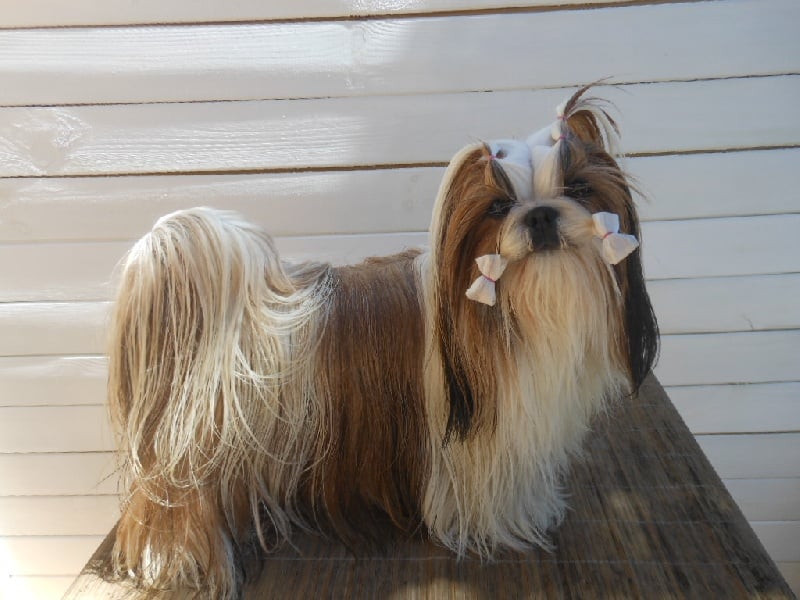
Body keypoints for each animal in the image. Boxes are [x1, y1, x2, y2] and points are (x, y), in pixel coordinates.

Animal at [106, 86, 658, 598]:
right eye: (499, 207)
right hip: (194, 460)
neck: (523, 310)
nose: (540, 214)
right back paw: (168, 560)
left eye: (579, 188)